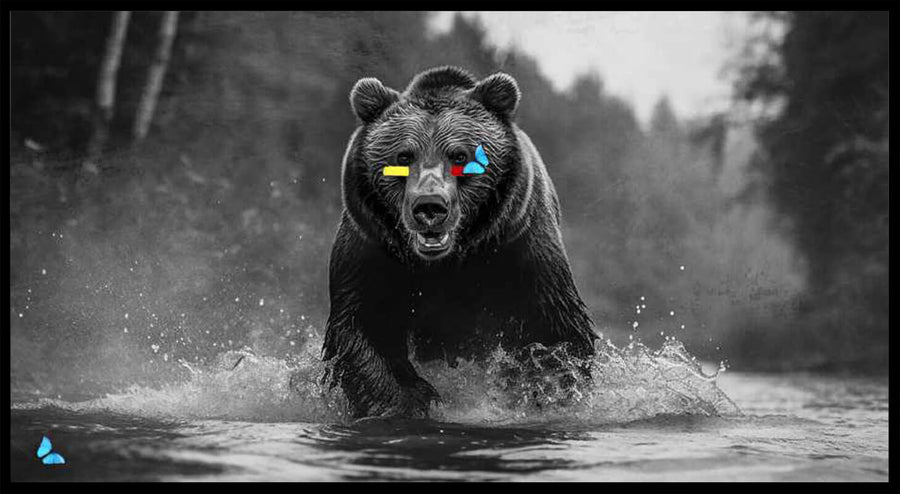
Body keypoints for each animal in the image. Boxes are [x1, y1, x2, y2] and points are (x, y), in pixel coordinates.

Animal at [323, 66, 597, 419]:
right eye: (403, 156)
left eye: (460, 155)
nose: (430, 206)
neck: (448, 262)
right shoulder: (373, 248)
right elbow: (364, 326)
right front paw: (410, 400)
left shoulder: (520, 246)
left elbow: (554, 332)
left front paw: (533, 392)